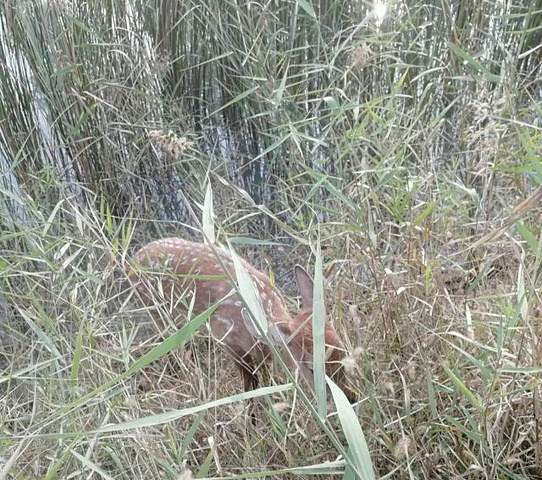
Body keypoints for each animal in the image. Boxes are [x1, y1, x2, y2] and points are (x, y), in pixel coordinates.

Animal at [128, 239, 356, 402]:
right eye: (311, 369)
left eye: (343, 351)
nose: (351, 397)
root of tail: (132, 257)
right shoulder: (227, 339)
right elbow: (250, 382)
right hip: (157, 312)